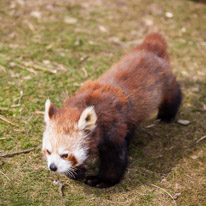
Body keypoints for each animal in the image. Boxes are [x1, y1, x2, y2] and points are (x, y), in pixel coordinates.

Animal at [42, 33, 182, 188]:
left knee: (173, 94)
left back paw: (167, 115)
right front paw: (75, 171)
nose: (53, 167)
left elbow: (114, 160)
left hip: (165, 83)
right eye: (48, 151)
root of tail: (149, 50)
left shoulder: (112, 129)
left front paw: (101, 180)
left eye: (65, 155)